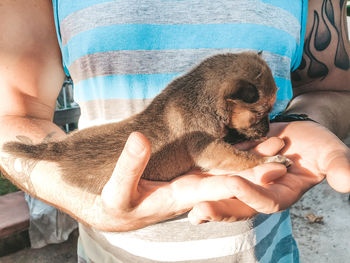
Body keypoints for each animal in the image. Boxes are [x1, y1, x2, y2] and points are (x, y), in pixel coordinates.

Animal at [3, 52, 290, 195]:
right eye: (261, 112)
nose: (267, 130)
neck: (202, 97)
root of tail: (60, 149)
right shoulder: (209, 148)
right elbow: (241, 158)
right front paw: (268, 160)